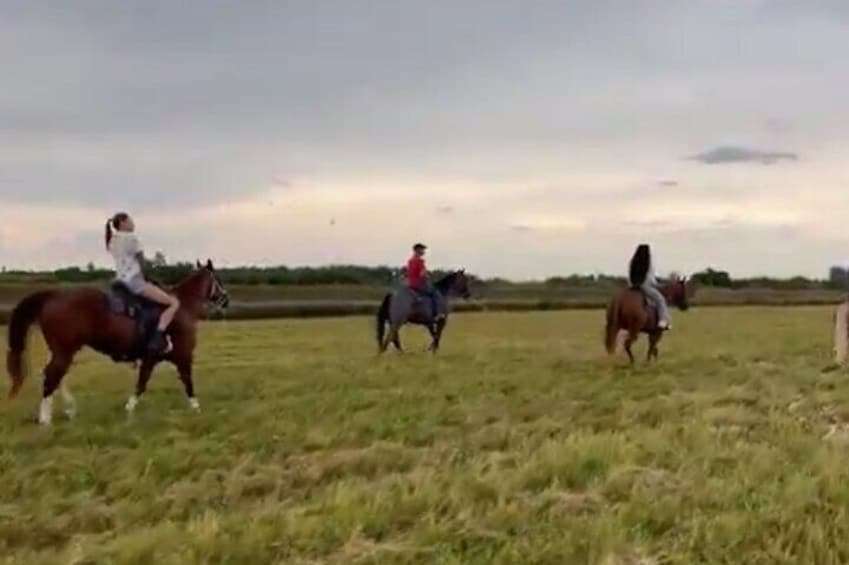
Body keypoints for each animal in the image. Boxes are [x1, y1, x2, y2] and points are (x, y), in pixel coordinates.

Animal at [5, 260, 229, 424]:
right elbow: (185, 382)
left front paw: (129, 409)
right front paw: (197, 409)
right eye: (217, 279)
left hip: (63, 352)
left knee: (52, 376)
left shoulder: (151, 359)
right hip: (64, 352)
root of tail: (53, 295)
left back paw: (68, 409)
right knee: (51, 377)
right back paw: (46, 419)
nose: (226, 300)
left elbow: (142, 383)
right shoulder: (182, 355)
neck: (182, 309)